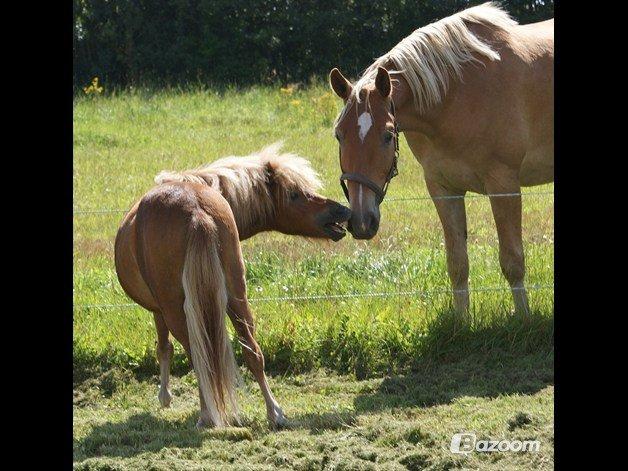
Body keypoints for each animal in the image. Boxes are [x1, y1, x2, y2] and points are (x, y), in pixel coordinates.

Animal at [112, 144, 348, 428]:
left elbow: (164, 347)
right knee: (252, 351)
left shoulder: (159, 310)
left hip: (177, 310)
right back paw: (274, 412)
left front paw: (165, 396)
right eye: (294, 194)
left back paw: (207, 415)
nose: (343, 211)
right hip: (237, 296)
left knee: (199, 356)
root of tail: (196, 211)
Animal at [328, 3, 556, 316]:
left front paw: (524, 318)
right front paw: (463, 322)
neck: (455, 94)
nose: (362, 222)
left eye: (387, 135)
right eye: (339, 134)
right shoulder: (442, 189)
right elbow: (457, 264)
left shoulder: (504, 184)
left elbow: (513, 261)